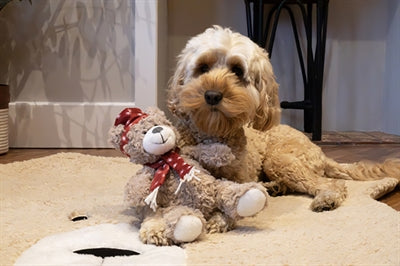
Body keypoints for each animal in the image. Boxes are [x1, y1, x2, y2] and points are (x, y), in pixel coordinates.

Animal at [166, 25, 400, 212]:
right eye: (203, 68)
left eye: (237, 70)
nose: (212, 95)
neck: (213, 132)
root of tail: (320, 151)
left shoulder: (242, 176)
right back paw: (275, 187)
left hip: (279, 160)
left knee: (331, 183)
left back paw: (325, 198)